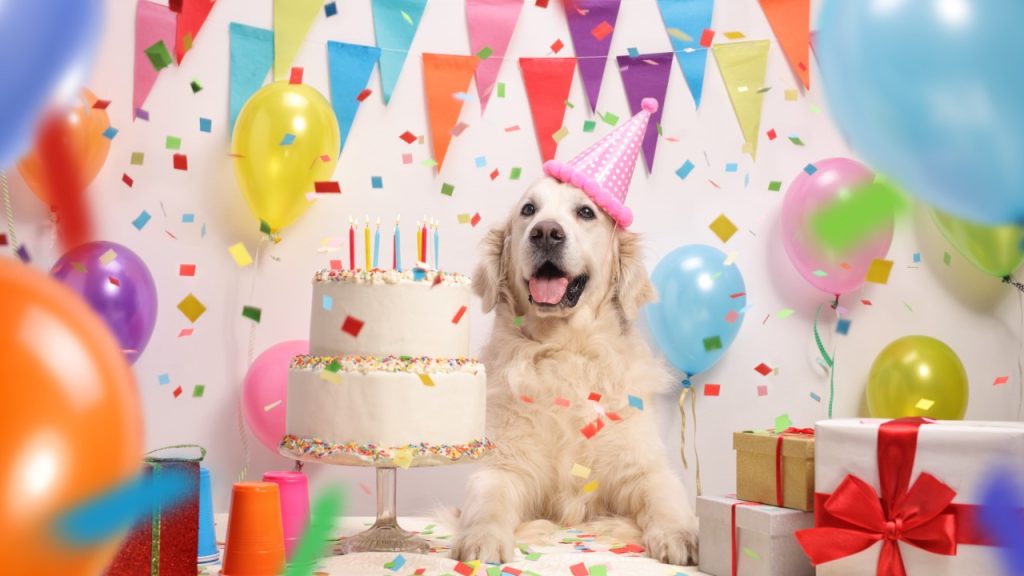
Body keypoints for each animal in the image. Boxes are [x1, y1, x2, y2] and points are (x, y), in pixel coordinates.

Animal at [454, 177, 700, 561]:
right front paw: (482, 539)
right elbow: (488, 501)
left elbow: (663, 496)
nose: (546, 233)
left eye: (586, 212)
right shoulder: (504, 466)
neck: (564, 349)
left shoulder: (641, 467)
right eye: (528, 210)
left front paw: (681, 535)